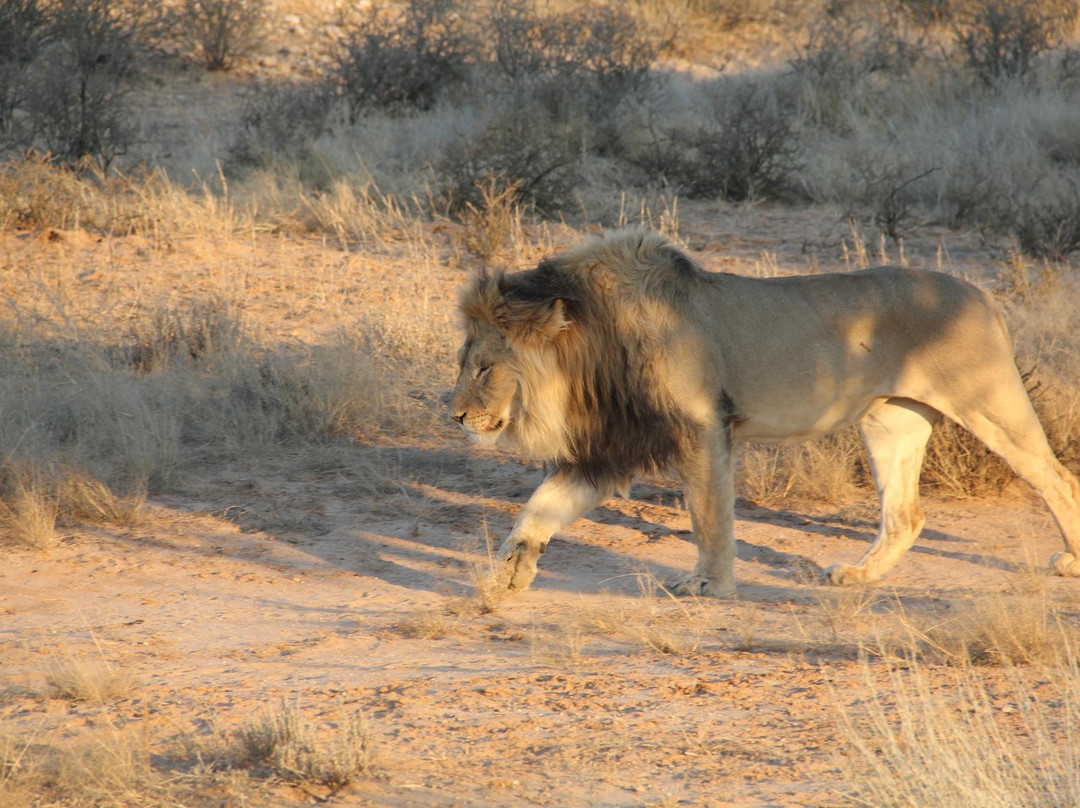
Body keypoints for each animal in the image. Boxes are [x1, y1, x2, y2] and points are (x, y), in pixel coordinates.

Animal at [449, 230, 1080, 596]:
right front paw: (509, 572)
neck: (591, 349)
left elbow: (708, 514)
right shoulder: (611, 446)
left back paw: (1071, 561)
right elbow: (539, 507)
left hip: (991, 405)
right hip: (890, 422)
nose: (453, 417)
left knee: (1058, 480)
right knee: (906, 515)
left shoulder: (704, 425)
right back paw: (856, 576)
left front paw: (708, 584)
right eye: (466, 364)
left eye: (482, 369)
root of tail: (982, 293)